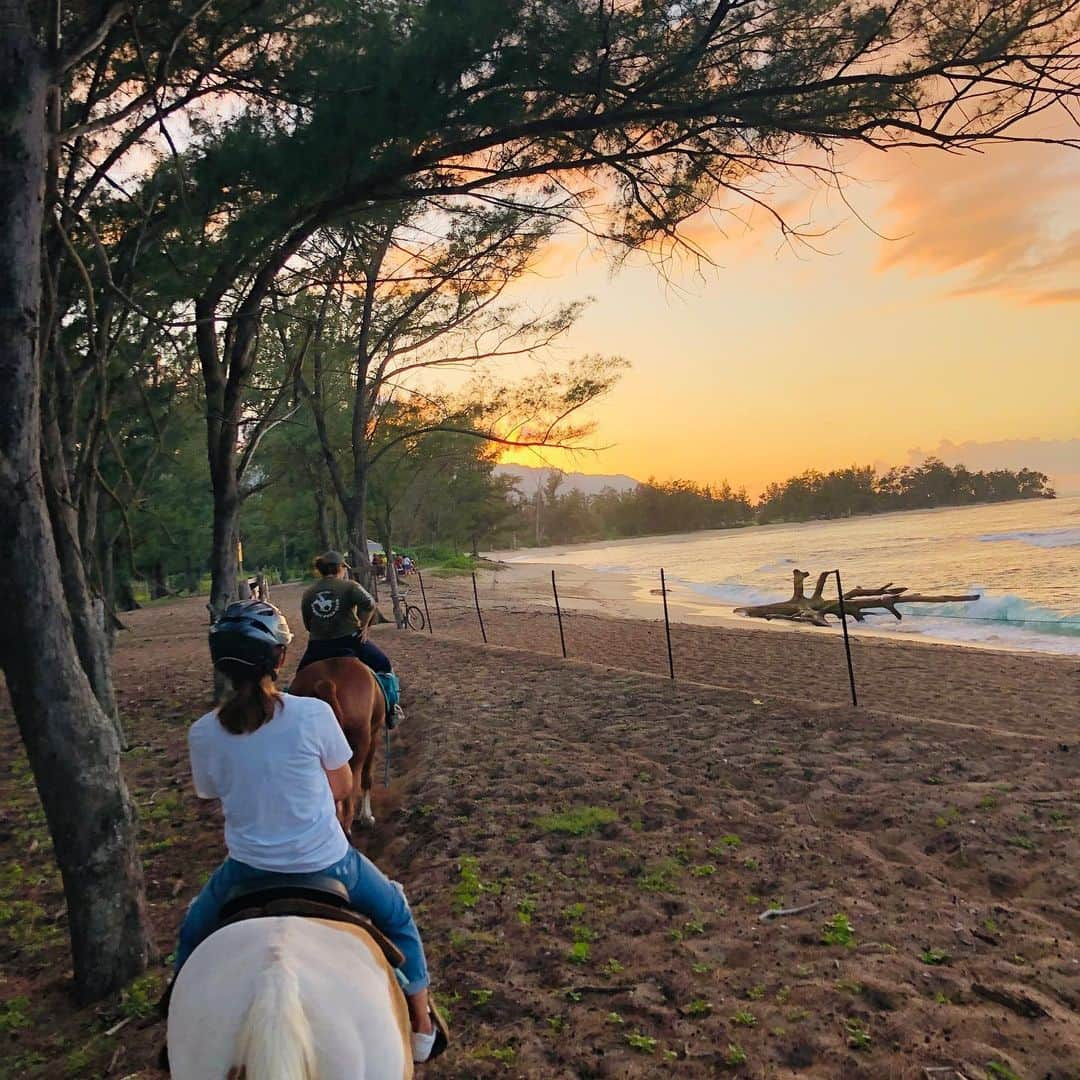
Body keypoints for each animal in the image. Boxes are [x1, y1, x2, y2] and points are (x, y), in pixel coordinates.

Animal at [289, 656, 386, 833]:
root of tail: (326, 683)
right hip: (356, 750)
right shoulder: (374, 734)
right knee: (346, 809)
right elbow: (367, 777)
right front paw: (367, 817)